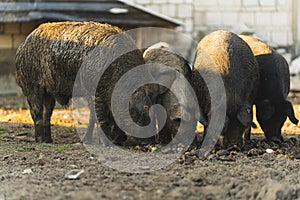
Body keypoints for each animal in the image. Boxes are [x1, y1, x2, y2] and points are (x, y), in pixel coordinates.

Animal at [15, 21, 149, 144]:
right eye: (135, 112)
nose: (147, 142)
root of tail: (22, 46)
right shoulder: (92, 91)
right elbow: (98, 116)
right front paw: (106, 144)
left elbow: (95, 117)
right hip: (30, 85)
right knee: (36, 112)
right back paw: (40, 140)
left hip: (49, 92)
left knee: (47, 113)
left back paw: (49, 140)